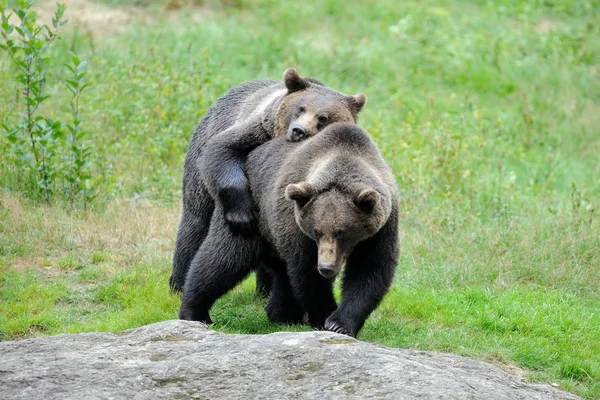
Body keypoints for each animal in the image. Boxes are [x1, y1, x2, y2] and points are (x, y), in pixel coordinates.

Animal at [169, 69, 366, 294]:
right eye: (300, 108)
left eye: (323, 117)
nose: (298, 130)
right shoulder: (257, 132)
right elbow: (223, 149)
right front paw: (243, 216)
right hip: (200, 161)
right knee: (195, 222)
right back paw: (178, 282)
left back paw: (266, 289)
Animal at [180, 122, 400, 338]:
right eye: (317, 231)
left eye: (342, 232)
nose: (326, 268)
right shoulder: (297, 226)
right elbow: (308, 274)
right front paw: (324, 316)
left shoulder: (382, 228)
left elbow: (370, 270)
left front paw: (339, 323)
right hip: (251, 217)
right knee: (221, 260)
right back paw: (194, 311)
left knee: (282, 276)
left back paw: (282, 314)